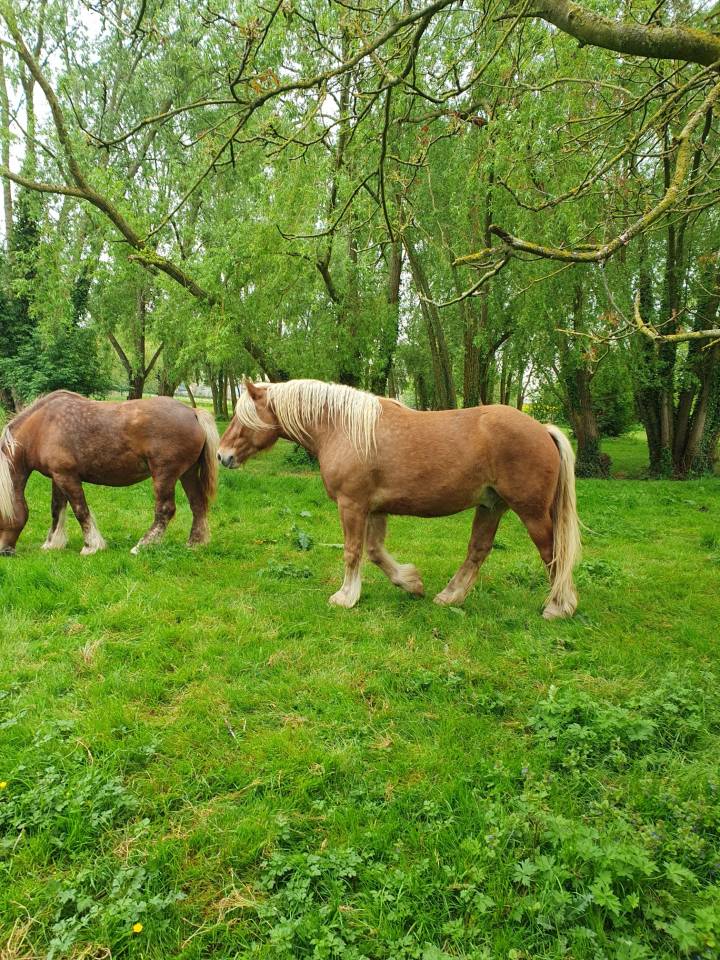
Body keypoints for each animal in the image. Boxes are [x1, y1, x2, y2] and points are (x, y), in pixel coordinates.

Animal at [0, 390, 219, 556]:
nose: (4, 551)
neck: (41, 427)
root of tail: (192, 412)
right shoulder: (58, 477)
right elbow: (56, 509)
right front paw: (52, 544)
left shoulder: (67, 477)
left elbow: (80, 510)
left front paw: (91, 546)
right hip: (187, 473)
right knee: (197, 504)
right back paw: (194, 544)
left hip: (165, 474)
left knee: (165, 510)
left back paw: (142, 546)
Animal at [217, 379, 581, 619]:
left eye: (243, 417)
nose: (222, 456)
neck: (341, 428)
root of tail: (543, 429)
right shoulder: (375, 509)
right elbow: (376, 553)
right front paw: (411, 583)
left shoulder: (352, 505)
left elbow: (353, 551)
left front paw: (345, 597)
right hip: (491, 506)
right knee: (477, 552)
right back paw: (449, 597)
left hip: (531, 513)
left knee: (553, 553)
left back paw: (558, 607)